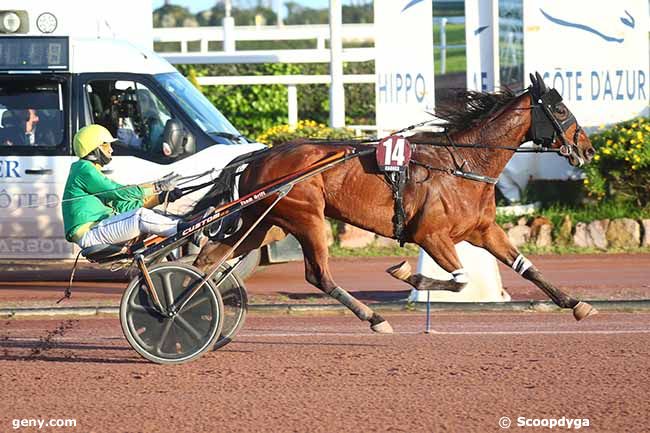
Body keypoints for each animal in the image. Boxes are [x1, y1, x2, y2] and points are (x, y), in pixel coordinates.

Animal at [194, 72, 596, 332]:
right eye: (561, 111)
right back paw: (374, 318)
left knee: (209, 258)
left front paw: (575, 304)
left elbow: (526, 267)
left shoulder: (482, 230)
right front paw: (405, 274)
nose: (588, 149)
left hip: (266, 223)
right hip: (306, 217)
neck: (463, 164)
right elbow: (460, 280)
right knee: (318, 274)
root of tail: (261, 156)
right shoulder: (431, 235)